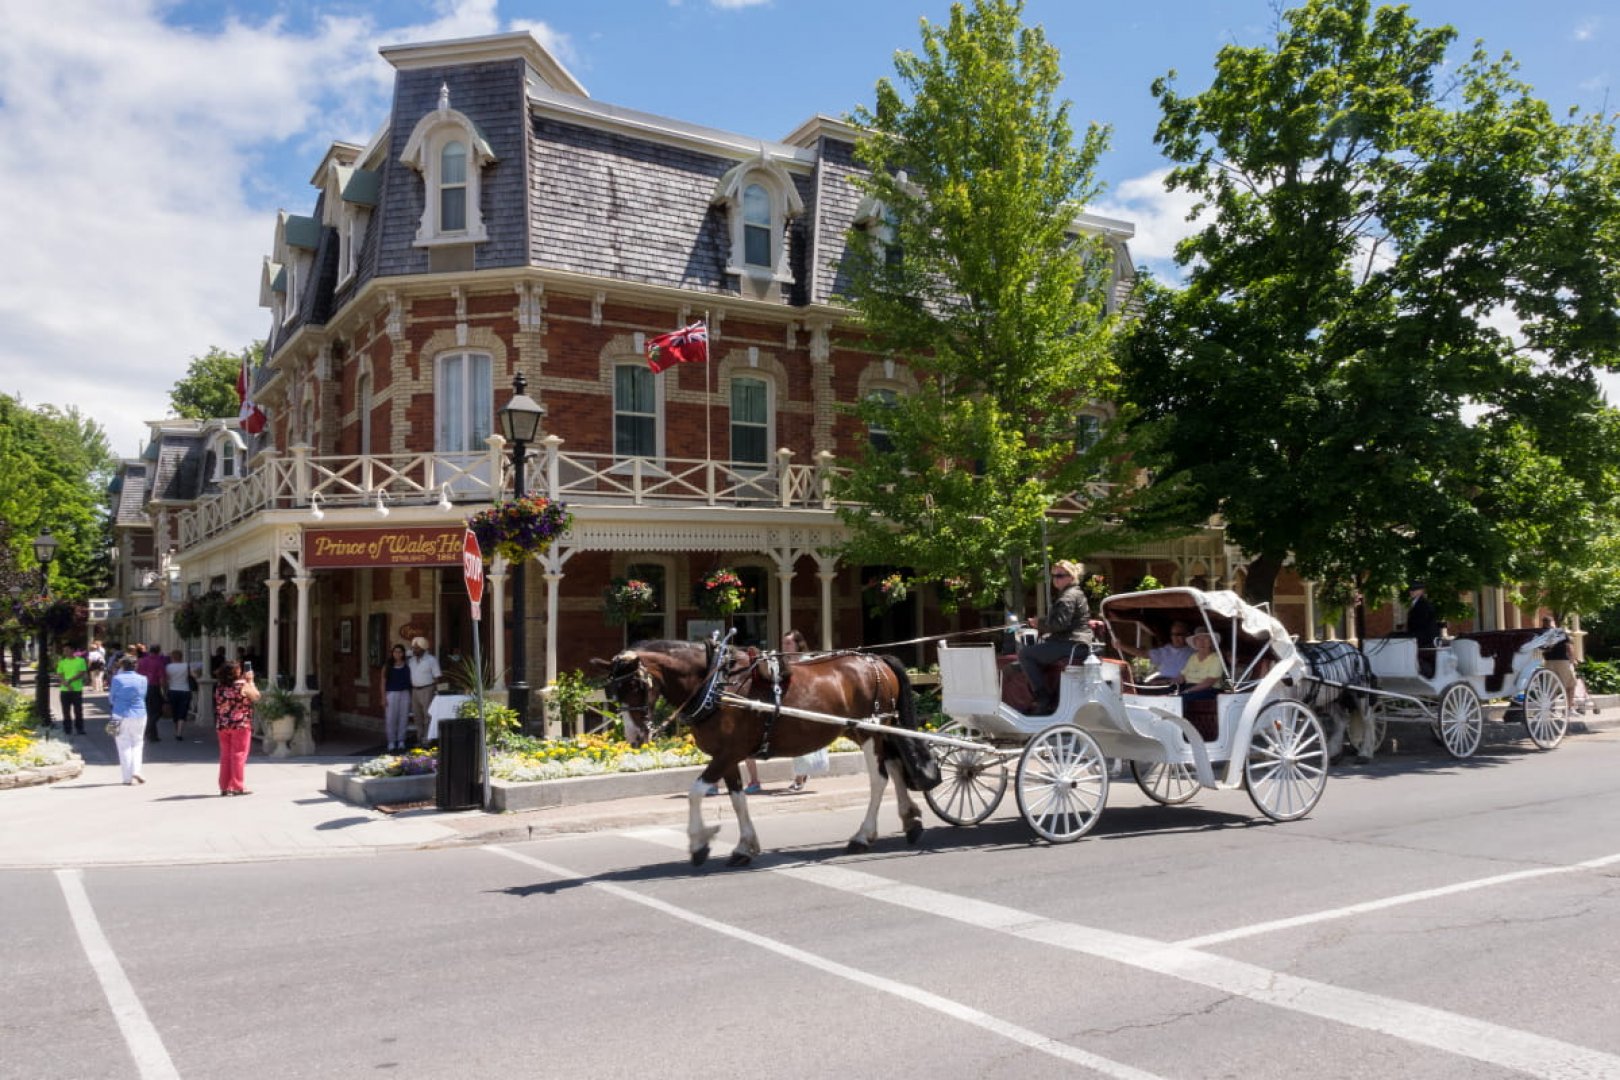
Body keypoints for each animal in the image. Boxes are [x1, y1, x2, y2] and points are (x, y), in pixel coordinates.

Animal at [602, 641, 946, 867]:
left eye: (636, 685)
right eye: (613, 691)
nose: (635, 737)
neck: (716, 684)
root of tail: (877, 660)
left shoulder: (728, 752)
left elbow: (696, 791)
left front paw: (699, 843)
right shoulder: (727, 755)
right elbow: (737, 799)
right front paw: (744, 847)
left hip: (871, 730)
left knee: (879, 779)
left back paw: (863, 836)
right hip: (872, 730)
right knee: (896, 767)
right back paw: (911, 821)